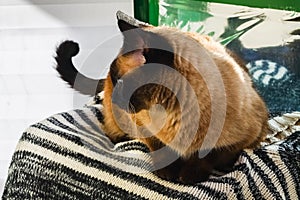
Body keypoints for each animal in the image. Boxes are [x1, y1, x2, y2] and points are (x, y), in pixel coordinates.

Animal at [55, 10, 268, 183]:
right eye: (114, 80)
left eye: (120, 82)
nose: (114, 97)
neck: (174, 112)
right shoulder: (142, 125)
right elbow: (160, 148)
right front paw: (168, 173)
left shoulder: (245, 139)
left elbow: (208, 155)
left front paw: (189, 176)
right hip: (119, 121)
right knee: (110, 130)